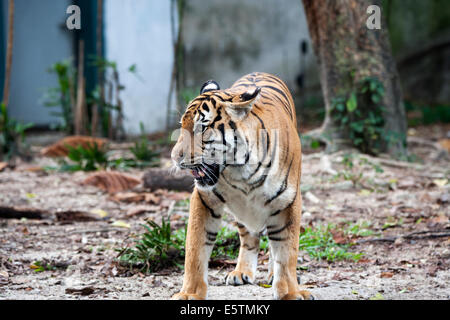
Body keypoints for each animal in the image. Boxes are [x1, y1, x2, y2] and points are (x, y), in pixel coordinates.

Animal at [170, 71, 312, 298]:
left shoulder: (288, 202)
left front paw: (290, 292)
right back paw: (241, 272)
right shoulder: (204, 200)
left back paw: (271, 275)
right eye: (182, 125)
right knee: (248, 237)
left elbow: (286, 252)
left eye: (202, 128)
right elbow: (194, 251)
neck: (242, 170)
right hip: (243, 210)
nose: (174, 157)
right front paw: (189, 294)